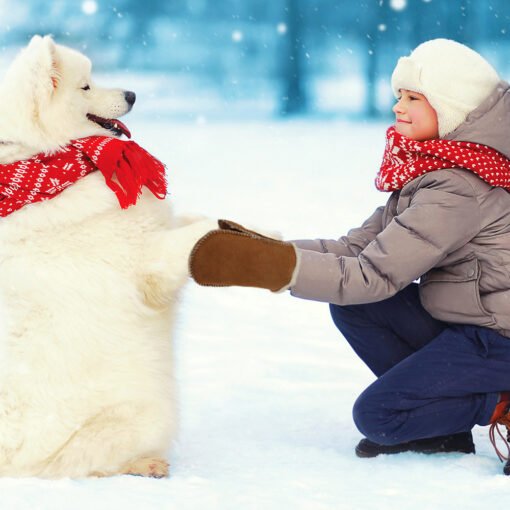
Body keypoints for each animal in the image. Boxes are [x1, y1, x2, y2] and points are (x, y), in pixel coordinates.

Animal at [0, 35, 216, 478]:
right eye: (85, 86)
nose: (132, 94)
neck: (55, 162)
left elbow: (190, 222)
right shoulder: (147, 264)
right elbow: (191, 239)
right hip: (144, 411)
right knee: (89, 464)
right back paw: (146, 464)